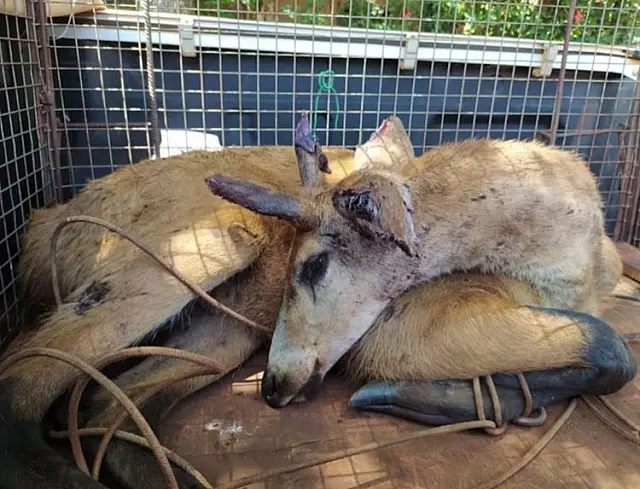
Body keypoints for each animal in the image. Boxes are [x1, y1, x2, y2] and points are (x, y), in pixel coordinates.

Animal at [0, 112, 634, 489]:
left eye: (314, 264)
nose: (275, 386)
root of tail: (41, 225)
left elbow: (605, 338)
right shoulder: (402, 330)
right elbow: (610, 346)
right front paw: (421, 396)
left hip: (226, 325)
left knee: (110, 407)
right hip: (198, 246)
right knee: (25, 381)